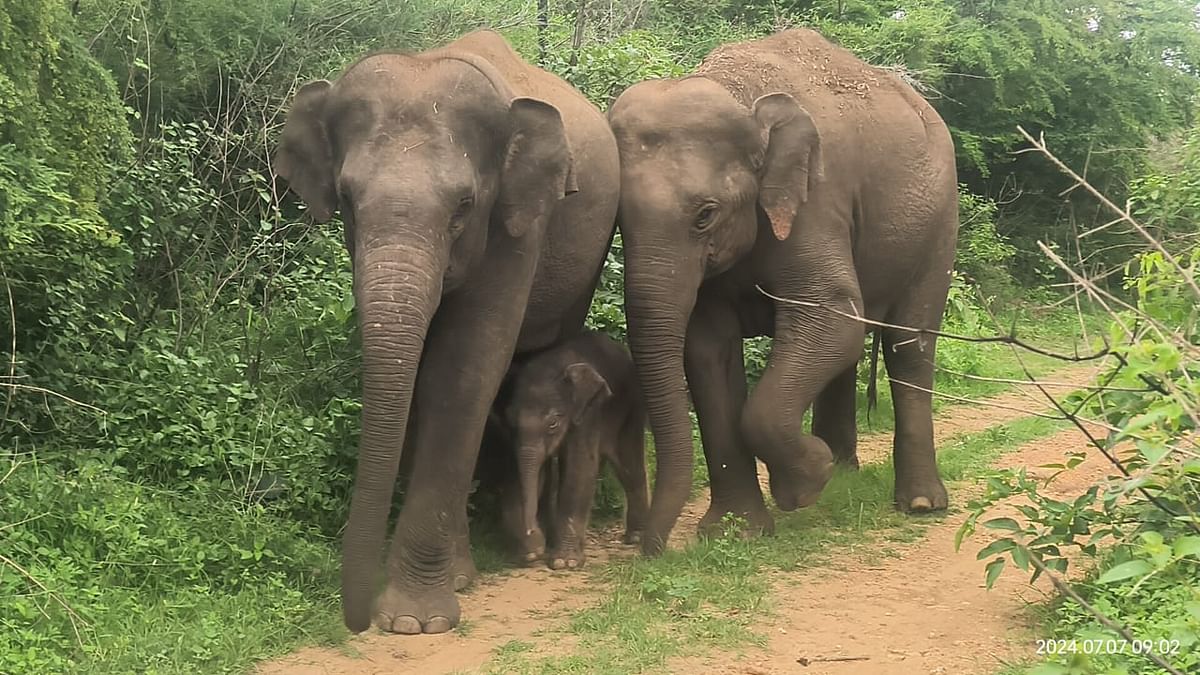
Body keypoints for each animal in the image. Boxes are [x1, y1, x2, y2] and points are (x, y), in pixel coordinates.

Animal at [272, 28, 619, 634]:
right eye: (346, 200)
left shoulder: (517, 223)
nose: (357, 622)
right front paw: (444, 590)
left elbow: (463, 371)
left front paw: (415, 621)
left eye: (464, 206)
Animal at [487, 329, 648, 569]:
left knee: (628, 466)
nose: (531, 531)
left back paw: (635, 537)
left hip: (632, 408)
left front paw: (565, 562)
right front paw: (531, 552)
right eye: (510, 420)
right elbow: (523, 472)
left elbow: (578, 468)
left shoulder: (588, 413)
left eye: (553, 423)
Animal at [609, 27, 955, 552]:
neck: (738, 94)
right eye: (617, 223)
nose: (646, 547)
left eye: (705, 215)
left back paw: (917, 503)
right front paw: (738, 532)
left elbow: (831, 317)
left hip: (939, 224)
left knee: (908, 343)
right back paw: (845, 473)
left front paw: (804, 484)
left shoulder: (817, 201)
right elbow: (708, 349)